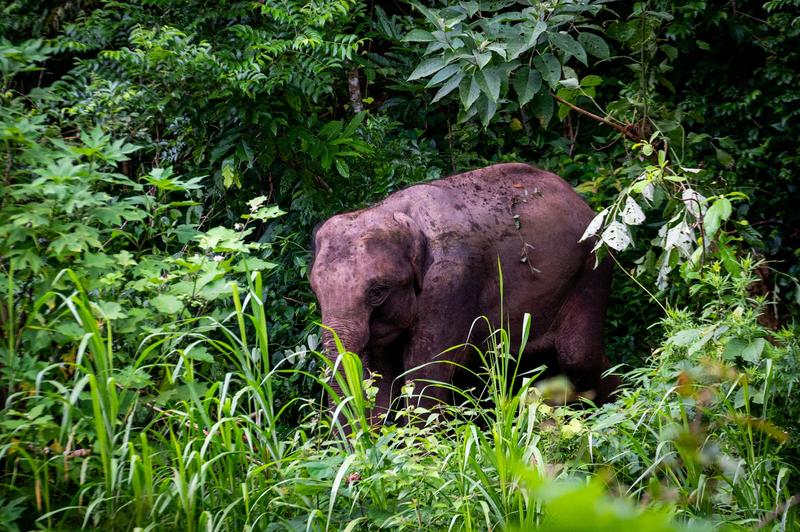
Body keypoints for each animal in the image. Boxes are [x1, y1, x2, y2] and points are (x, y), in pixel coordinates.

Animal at [309, 163, 618, 423]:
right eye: (316, 291)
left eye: (377, 292)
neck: (395, 212)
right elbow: (380, 377)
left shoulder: (449, 283)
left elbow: (425, 375)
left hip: (593, 266)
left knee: (577, 356)